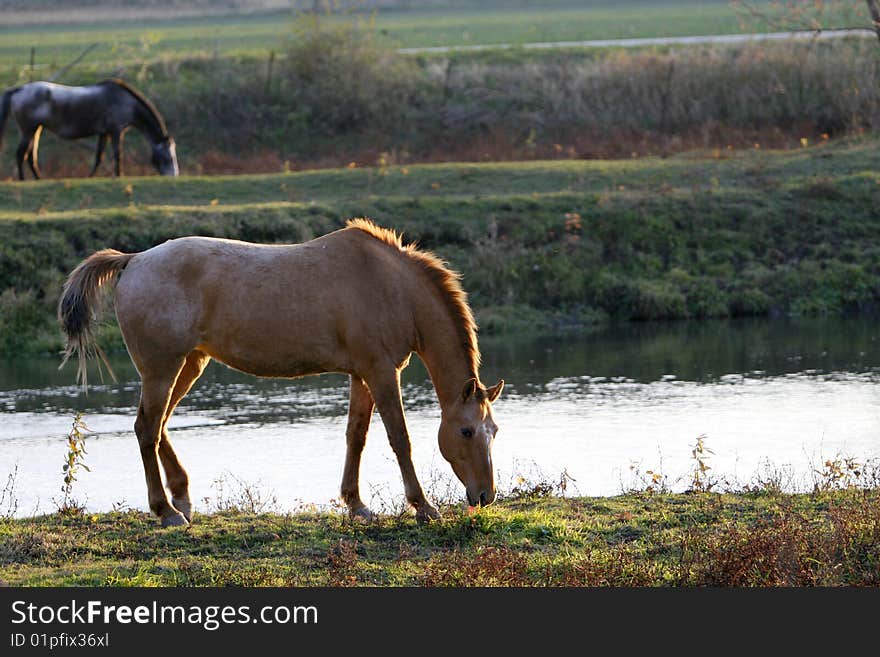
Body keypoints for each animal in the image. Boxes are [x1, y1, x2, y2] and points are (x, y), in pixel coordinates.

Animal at [0, 78, 179, 181]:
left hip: (36, 129)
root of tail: (19, 89)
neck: (126, 102)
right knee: (20, 154)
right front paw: (119, 175)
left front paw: (91, 176)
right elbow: (117, 154)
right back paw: (23, 180)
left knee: (30, 156)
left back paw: (38, 178)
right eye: (168, 157)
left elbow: (99, 156)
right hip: (28, 130)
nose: (174, 175)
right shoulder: (116, 131)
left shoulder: (104, 133)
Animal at [58, 218, 506, 524]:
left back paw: (181, 498)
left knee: (158, 424)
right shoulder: (381, 372)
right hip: (161, 369)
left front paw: (356, 504)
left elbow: (356, 437)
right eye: (466, 431)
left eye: (494, 431)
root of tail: (134, 260)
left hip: (189, 364)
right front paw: (423, 507)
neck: (392, 287)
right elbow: (400, 439)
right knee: (147, 429)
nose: (486, 496)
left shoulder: (361, 374)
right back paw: (166, 512)